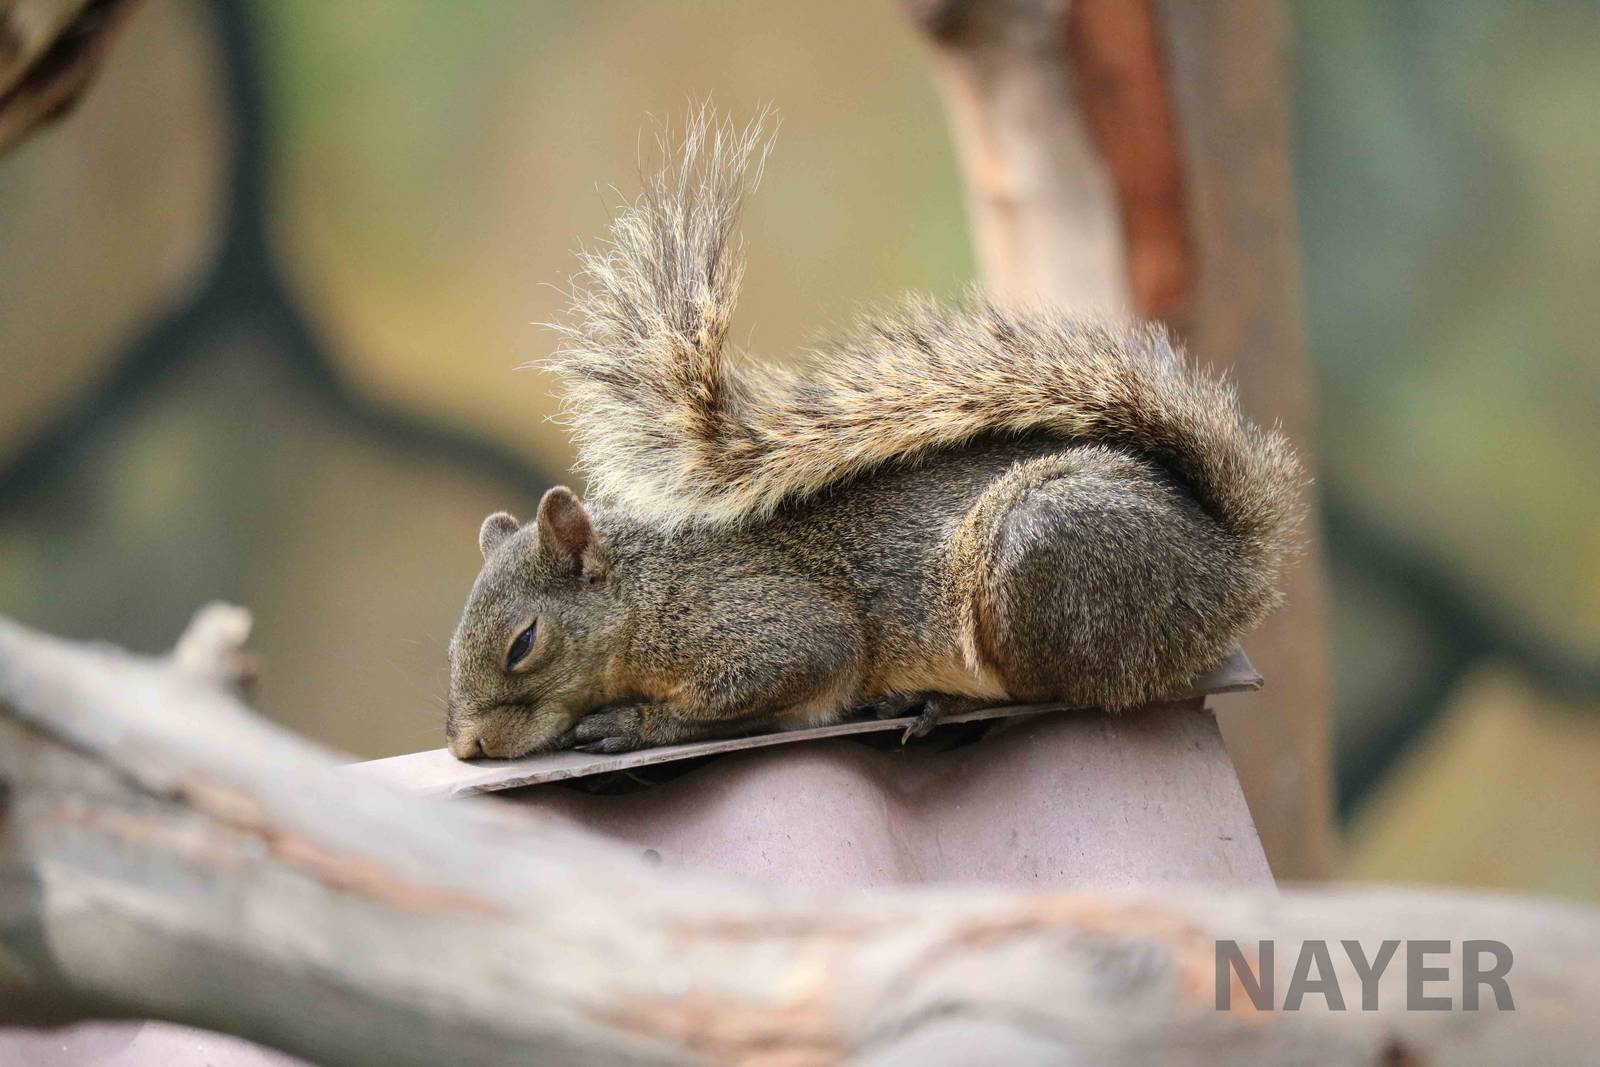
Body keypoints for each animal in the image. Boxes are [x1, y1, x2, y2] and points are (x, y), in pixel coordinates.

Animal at [444, 113, 1303, 761]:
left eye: (523, 642)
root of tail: (1229, 565)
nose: (469, 747)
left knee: (1064, 688)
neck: (647, 591)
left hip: (1040, 551)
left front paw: (634, 723)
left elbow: (786, 676)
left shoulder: (765, 628)